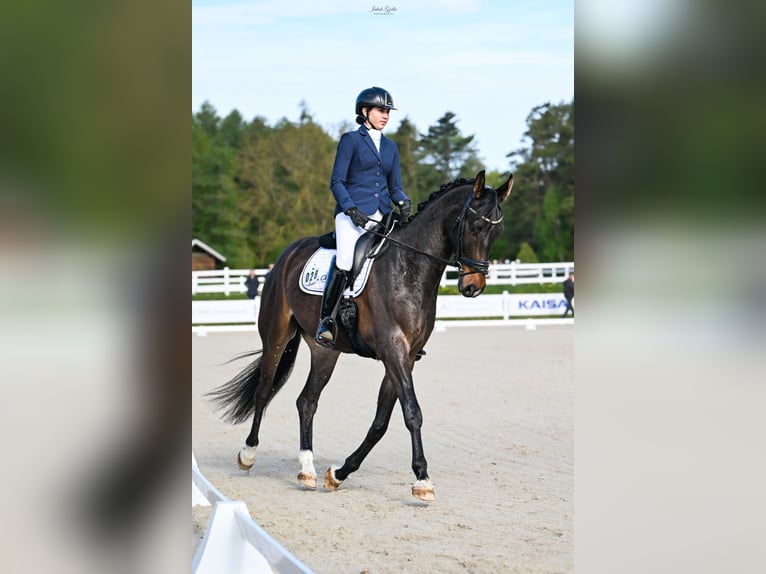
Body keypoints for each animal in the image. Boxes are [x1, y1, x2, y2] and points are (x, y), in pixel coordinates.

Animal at [207, 170, 513, 501]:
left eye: (498, 231)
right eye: (474, 225)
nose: (473, 287)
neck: (409, 268)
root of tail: (287, 255)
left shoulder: (405, 357)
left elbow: (380, 423)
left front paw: (338, 474)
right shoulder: (393, 351)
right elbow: (412, 412)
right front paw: (422, 479)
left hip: (325, 351)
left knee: (307, 401)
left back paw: (307, 469)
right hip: (276, 335)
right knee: (264, 390)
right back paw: (248, 454)